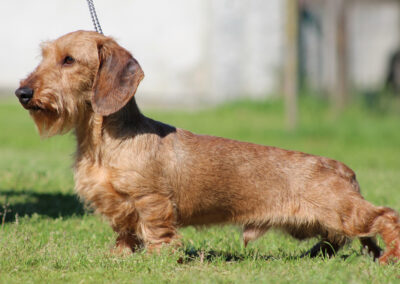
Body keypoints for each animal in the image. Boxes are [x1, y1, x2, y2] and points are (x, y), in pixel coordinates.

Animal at [14, 31, 398, 264]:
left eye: (68, 60)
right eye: (44, 56)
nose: (22, 93)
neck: (103, 141)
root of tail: (341, 167)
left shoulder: (152, 200)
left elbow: (155, 230)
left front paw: (157, 259)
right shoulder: (119, 207)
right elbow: (125, 231)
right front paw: (120, 256)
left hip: (343, 211)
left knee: (385, 217)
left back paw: (388, 258)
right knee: (347, 238)